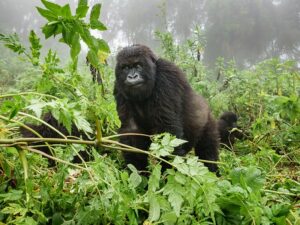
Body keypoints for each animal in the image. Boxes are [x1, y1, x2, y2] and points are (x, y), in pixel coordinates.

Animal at [113, 44, 219, 172]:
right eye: (125, 68)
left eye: (138, 66)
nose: (132, 76)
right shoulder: (119, 87)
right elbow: (131, 129)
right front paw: (137, 171)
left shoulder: (166, 76)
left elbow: (167, 129)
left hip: (208, 122)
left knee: (208, 152)